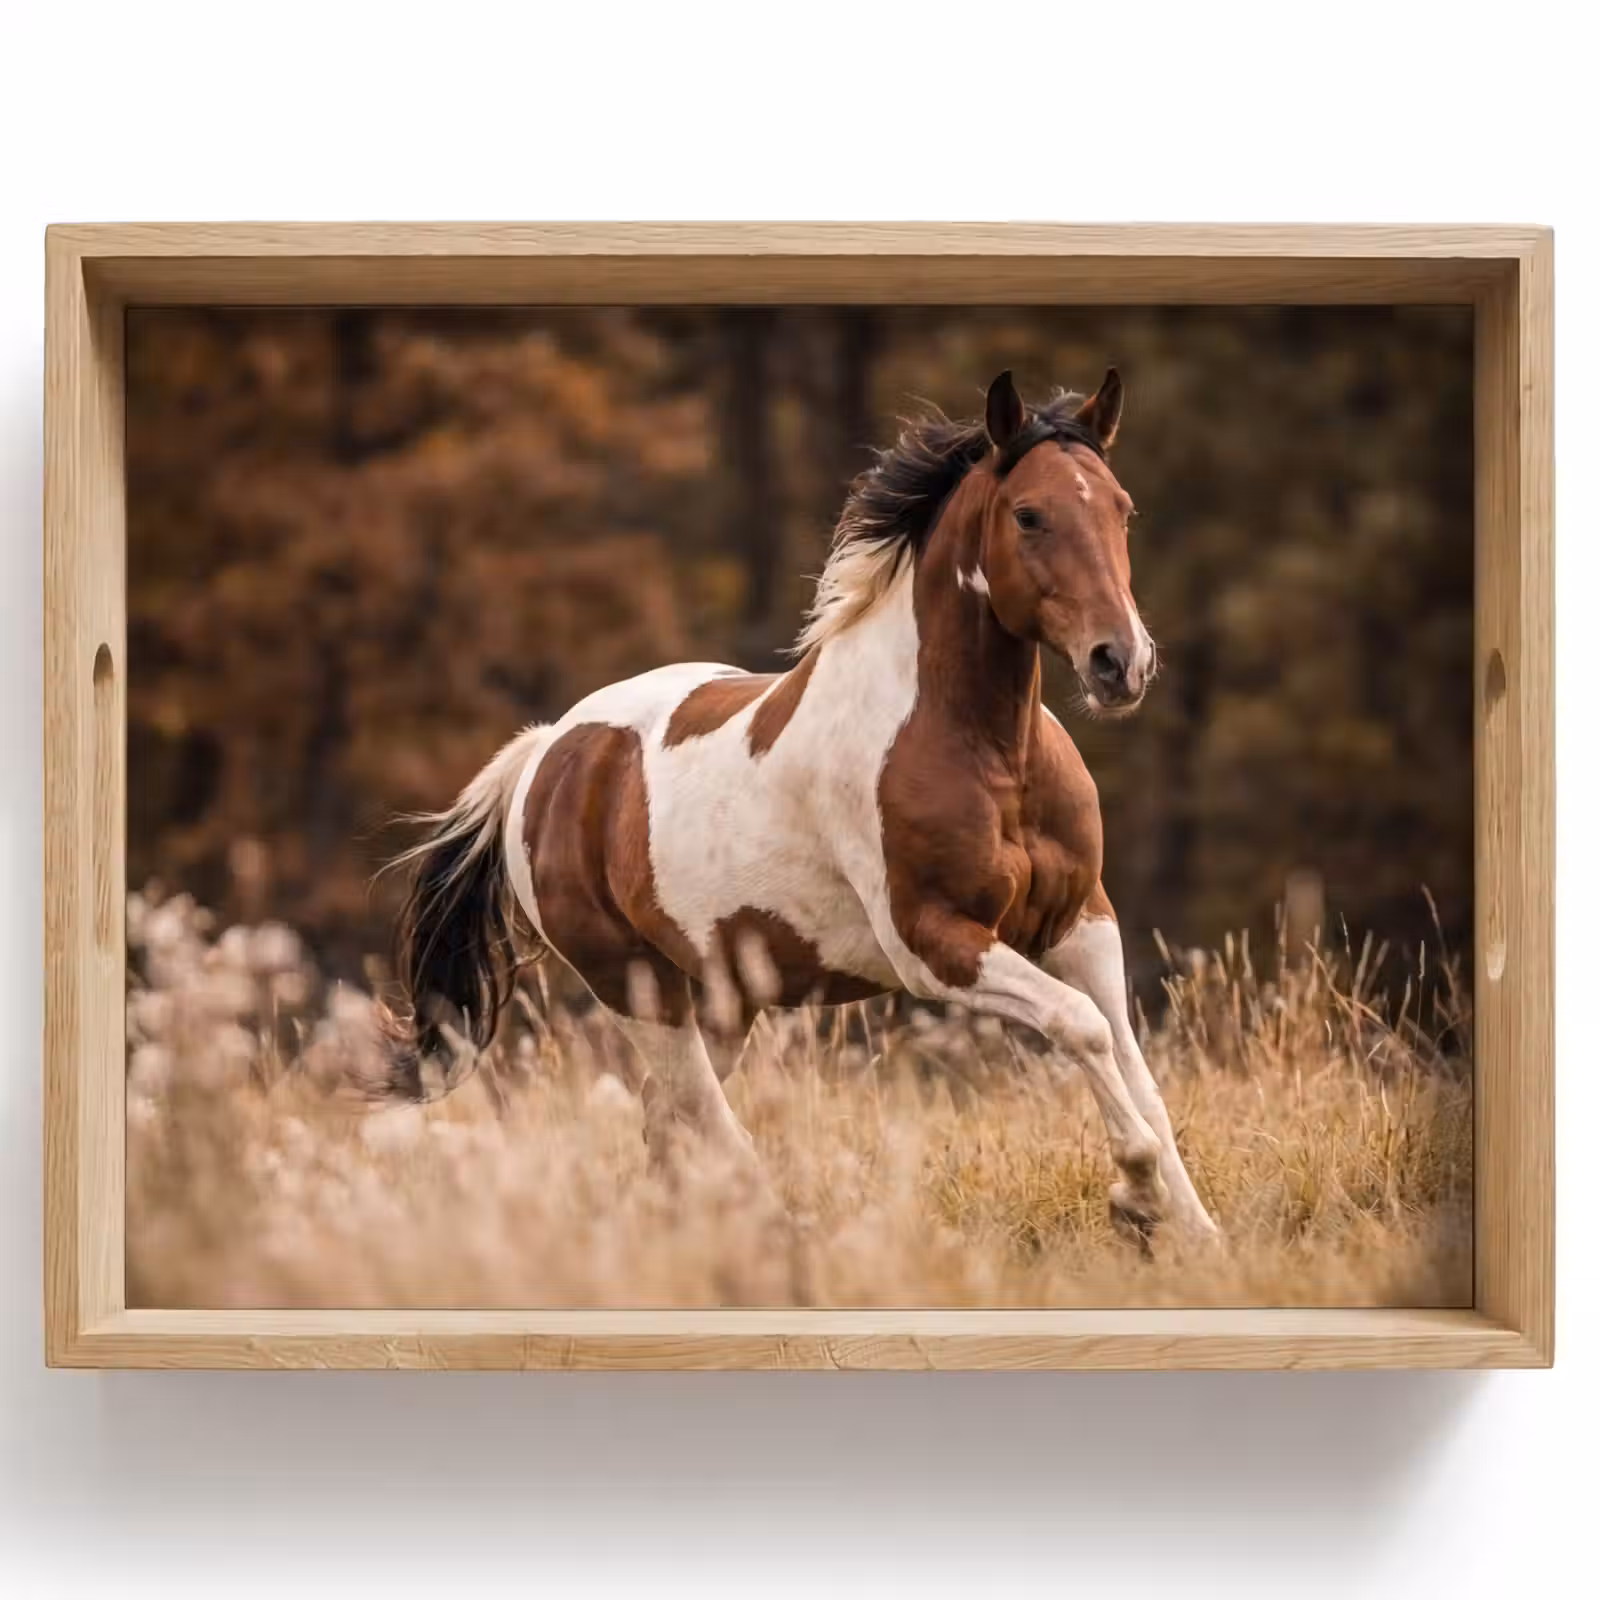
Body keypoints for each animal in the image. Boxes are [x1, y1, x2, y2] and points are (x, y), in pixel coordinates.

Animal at [383, 369, 1218, 1242]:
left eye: (1122, 508)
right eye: (1029, 514)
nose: (1120, 663)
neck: (989, 754)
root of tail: (545, 753)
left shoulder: (1081, 923)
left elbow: (1132, 1066)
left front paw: (1195, 1232)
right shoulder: (935, 945)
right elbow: (1080, 1026)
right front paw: (1136, 1193)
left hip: (724, 995)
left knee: (668, 1121)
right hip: (637, 987)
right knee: (704, 1121)